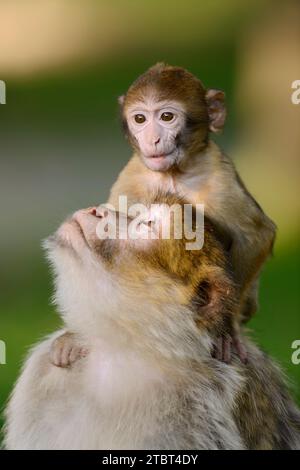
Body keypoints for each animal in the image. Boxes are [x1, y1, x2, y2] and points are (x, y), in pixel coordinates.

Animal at [50, 63, 276, 364]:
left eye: (167, 117)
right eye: (140, 119)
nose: (152, 138)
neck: (172, 174)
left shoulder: (218, 174)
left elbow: (258, 235)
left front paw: (227, 328)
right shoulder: (132, 176)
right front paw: (75, 334)